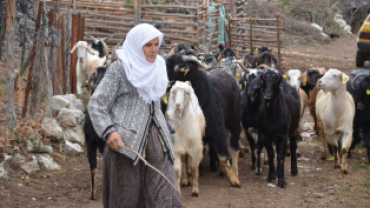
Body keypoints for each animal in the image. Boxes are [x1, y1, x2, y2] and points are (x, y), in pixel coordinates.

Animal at [166, 54, 241, 187]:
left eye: (177, 67)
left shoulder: (218, 130)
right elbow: (188, 157)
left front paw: (233, 179)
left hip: (235, 122)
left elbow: (223, 155)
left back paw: (235, 172)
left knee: (234, 148)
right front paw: (187, 179)